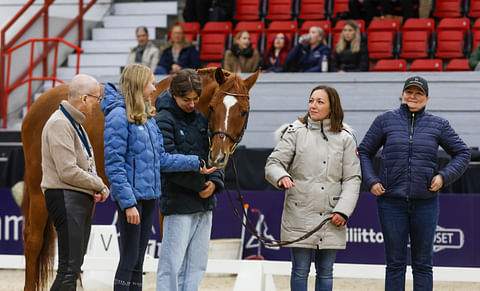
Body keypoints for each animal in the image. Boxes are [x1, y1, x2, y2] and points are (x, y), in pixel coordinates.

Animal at [19, 67, 258, 290]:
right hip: (38, 190)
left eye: (244, 111)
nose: (217, 156)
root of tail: (35, 106)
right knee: (32, 240)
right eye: (213, 107)